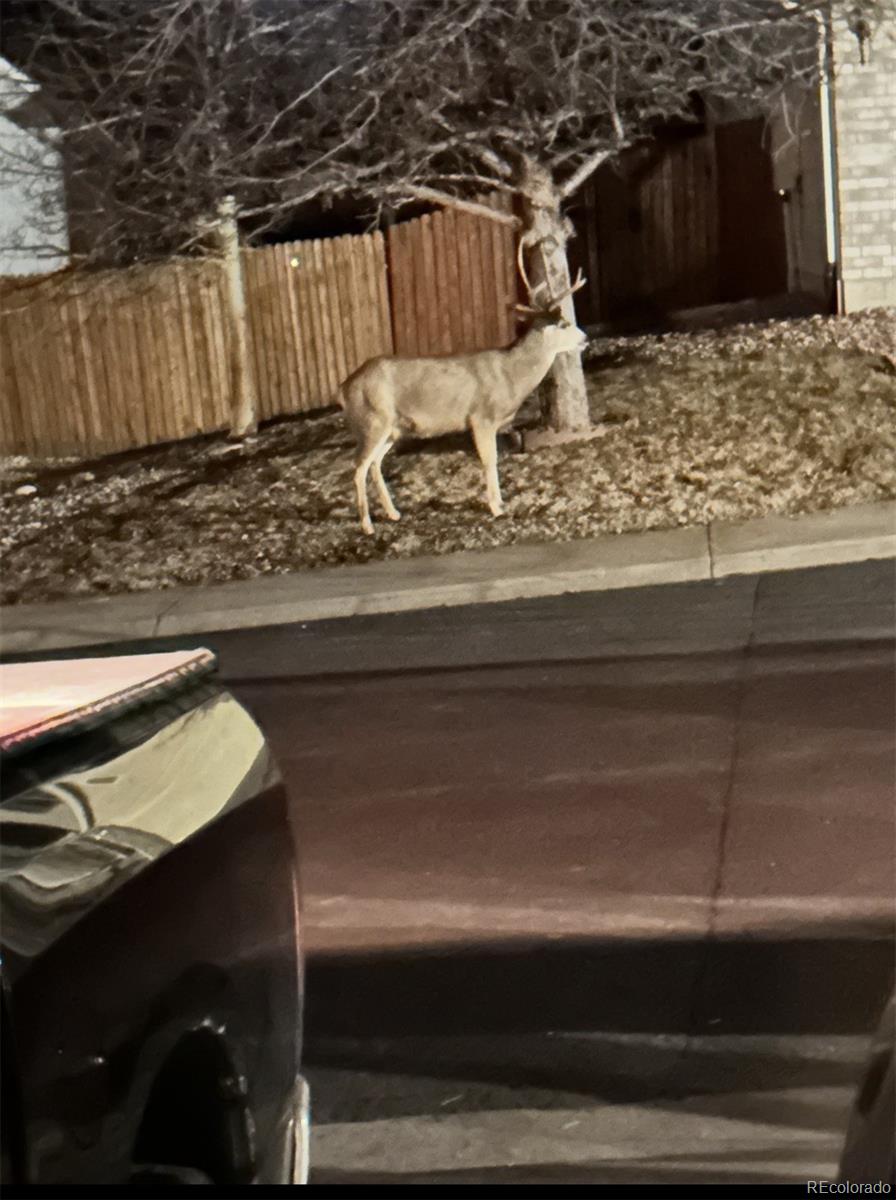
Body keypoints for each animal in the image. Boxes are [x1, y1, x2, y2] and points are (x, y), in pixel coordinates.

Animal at [337, 268, 588, 535]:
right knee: (358, 467)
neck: (510, 374)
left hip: (393, 428)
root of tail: (343, 388)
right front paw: (497, 507)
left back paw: (393, 513)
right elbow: (490, 460)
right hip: (372, 421)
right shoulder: (481, 417)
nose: (585, 337)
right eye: (564, 324)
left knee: (374, 464)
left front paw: (500, 503)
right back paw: (367, 525)